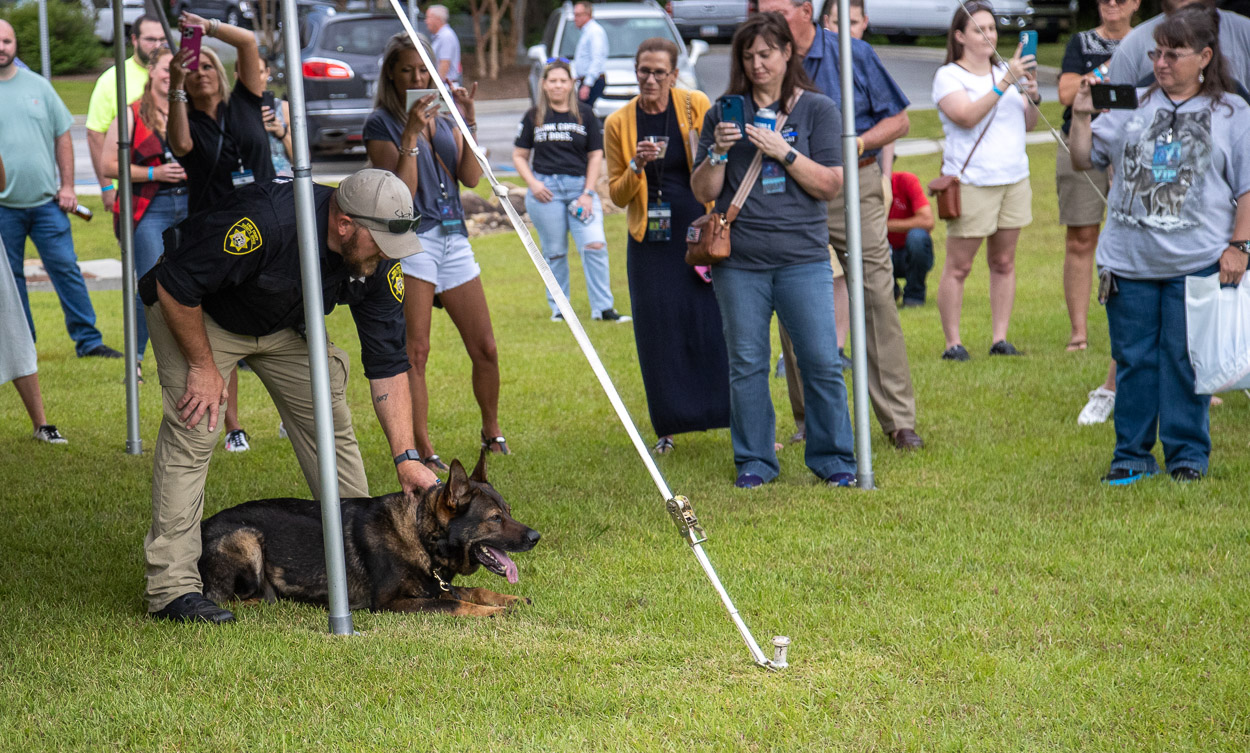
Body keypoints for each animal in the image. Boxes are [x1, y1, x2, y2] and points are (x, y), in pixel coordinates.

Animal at [199, 450, 540, 617]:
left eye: (509, 511)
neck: (420, 536)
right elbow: (457, 604)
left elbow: (476, 591)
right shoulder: (391, 603)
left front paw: (510, 599)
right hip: (246, 539)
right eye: (494, 518)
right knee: (228, 598)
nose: (535, 537)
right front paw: (495, 611)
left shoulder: (435, 587)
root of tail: (200, 525)